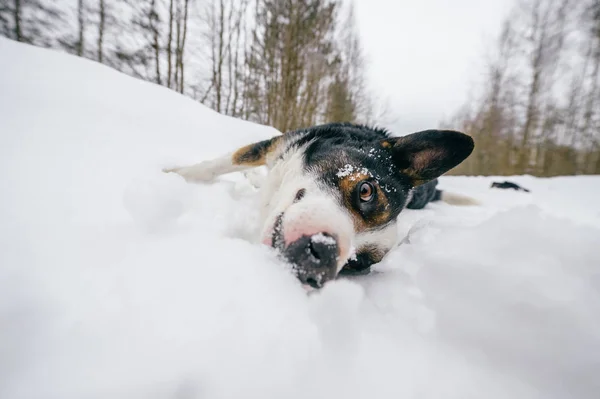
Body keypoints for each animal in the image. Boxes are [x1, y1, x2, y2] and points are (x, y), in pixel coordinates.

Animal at [164, 123, 474, 290]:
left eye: (358, 263)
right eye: (366, 191)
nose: (319, 259)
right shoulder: (278, 145)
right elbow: (219, 164)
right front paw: (174, 173)